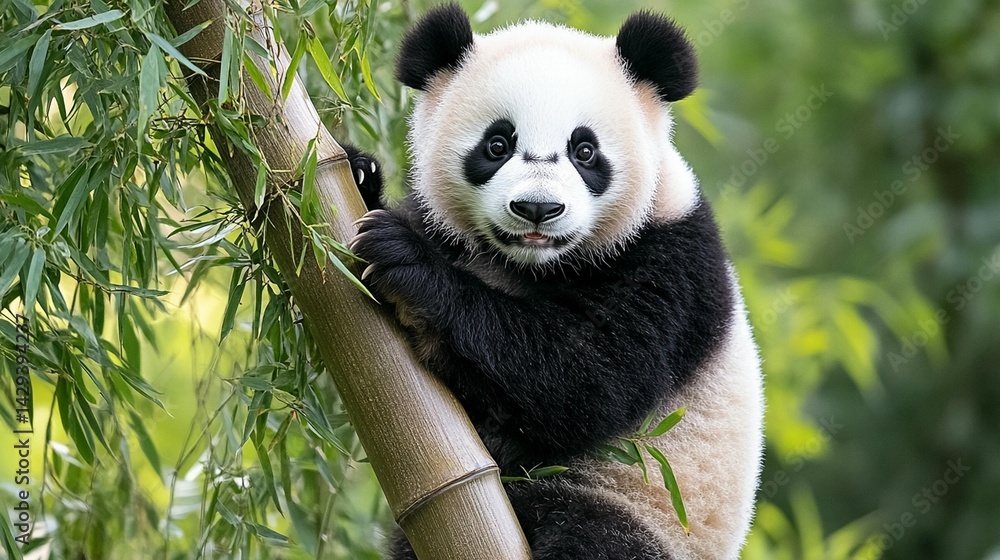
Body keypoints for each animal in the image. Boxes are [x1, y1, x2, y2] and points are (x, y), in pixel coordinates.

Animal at [344, 4, 764, 559]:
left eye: (584, 151)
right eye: (497, 144)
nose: (537, 209)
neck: (532, 264)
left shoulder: (671, 262)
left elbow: (583, 375)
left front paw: (405, 261)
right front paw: (358, 172)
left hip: (641, 507)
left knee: (591, 535)